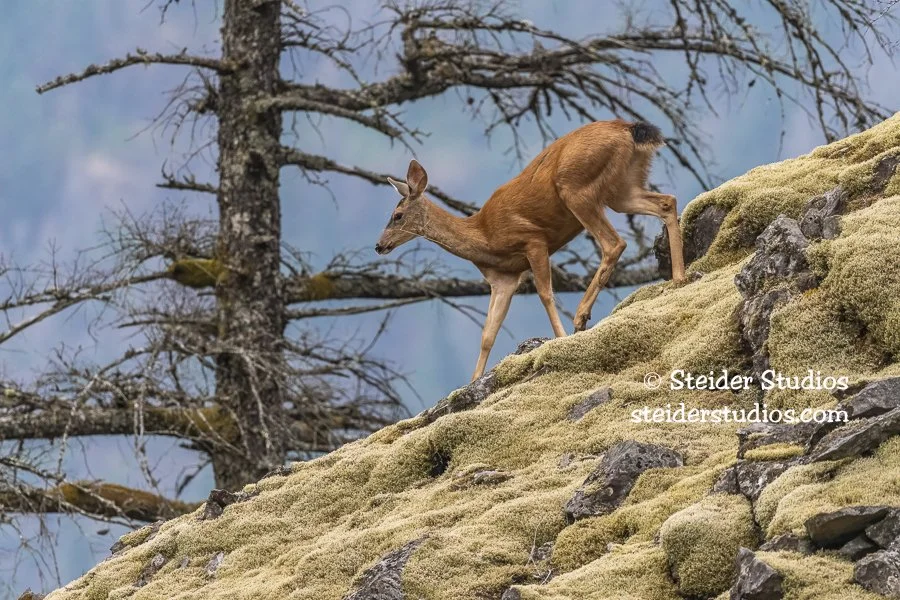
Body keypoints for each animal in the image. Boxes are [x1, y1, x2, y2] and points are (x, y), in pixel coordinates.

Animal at [375, 119, 685, 381]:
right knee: (666, 201)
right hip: (623, 187)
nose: (379, 246)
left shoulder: (533, 240)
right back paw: (679, 277)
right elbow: (488, 333)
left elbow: (546, 294)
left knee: (614, 243)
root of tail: (628, 127)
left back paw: (581, 317)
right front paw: (473, 382)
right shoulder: (504, 279)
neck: (485, 237)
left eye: (397, 215)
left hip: (577, 189)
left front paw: (560, 337)